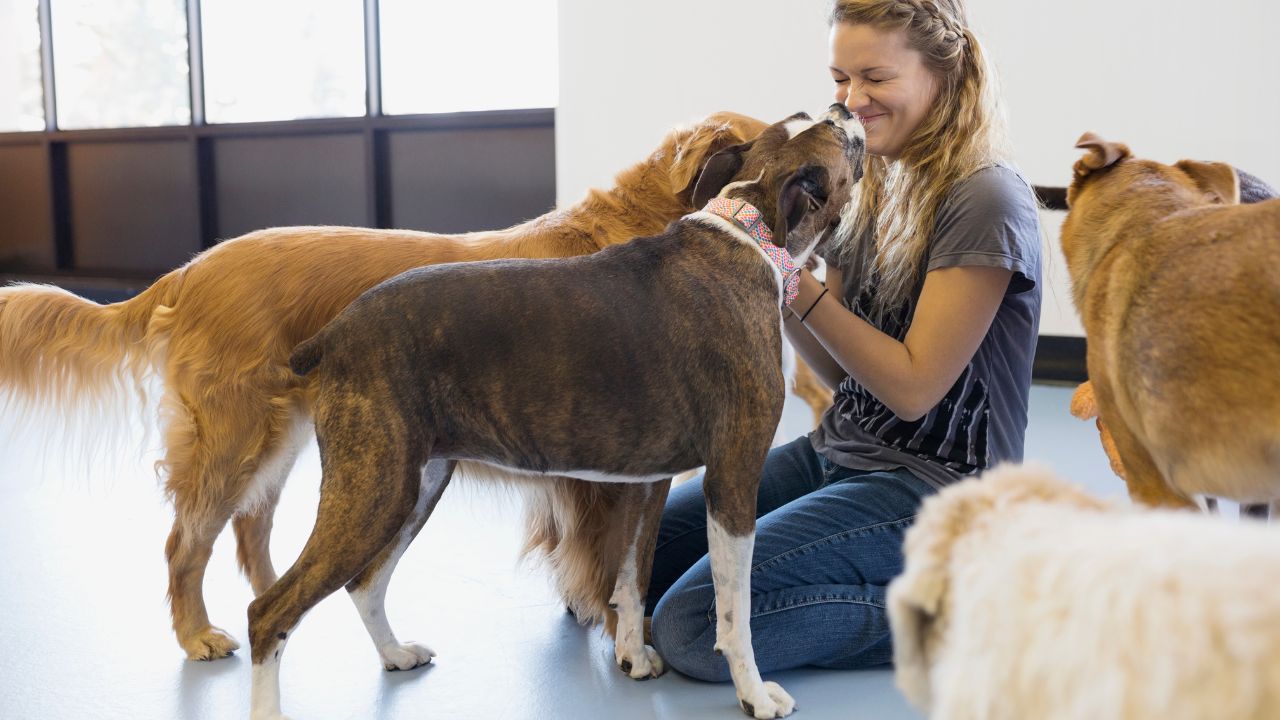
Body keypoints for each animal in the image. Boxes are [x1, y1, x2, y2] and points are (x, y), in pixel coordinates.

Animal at [0, 110, 768, 655]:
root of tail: (188, 270)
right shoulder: (598, 474)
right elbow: (609, 562)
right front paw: (625, 638)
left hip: (295, 439)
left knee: (254, 531)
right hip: (241, 438)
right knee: (186, 543)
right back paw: (198, 634)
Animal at [247, 107, 870, 717]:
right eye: (837, 135)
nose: (845, 107)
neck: (751, 233)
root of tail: (337, 331)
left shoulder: (648, 484)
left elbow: (632, 573)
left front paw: (632, 656)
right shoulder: (734, 479)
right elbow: (732, 609)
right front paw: (754, 694)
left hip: (413, 485)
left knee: (365, 584)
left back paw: (395, 654)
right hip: (374, 489)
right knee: (270, 611)